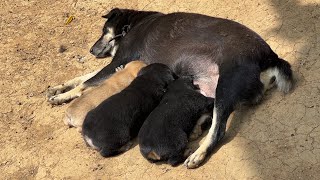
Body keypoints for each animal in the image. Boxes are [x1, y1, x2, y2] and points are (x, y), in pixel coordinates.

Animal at [47, 8, 292, 169]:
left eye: (103, 30)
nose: (90, 50)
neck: (130, 26)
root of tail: (270, 57)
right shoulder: (119, 63)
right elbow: (84, 76)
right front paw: (59, 89)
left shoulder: (122, 58)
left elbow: (87, 82)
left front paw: (65, 95)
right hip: (210, 89)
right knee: (208, 115)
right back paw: (196, 131)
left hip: (227, 85)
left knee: (218, 128)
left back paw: (198, 154)